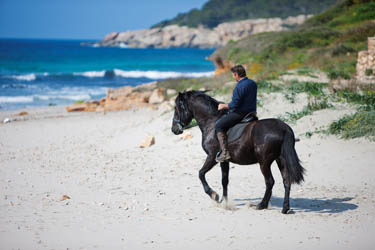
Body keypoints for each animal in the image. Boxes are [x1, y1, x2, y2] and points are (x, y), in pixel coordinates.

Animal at [171, 91, 306, 214]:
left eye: (177, 108)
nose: (174, 129)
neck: (211, 122)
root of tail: (284, 128)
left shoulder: (211, 157)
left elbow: (201, 174)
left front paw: (214, 195)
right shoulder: (224, 161)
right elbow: (224, 181)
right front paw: (224, 202)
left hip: (264, 162)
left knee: (270, 182)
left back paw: (261, 205)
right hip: (280, 159)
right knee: (286, 181)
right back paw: (285, 208)